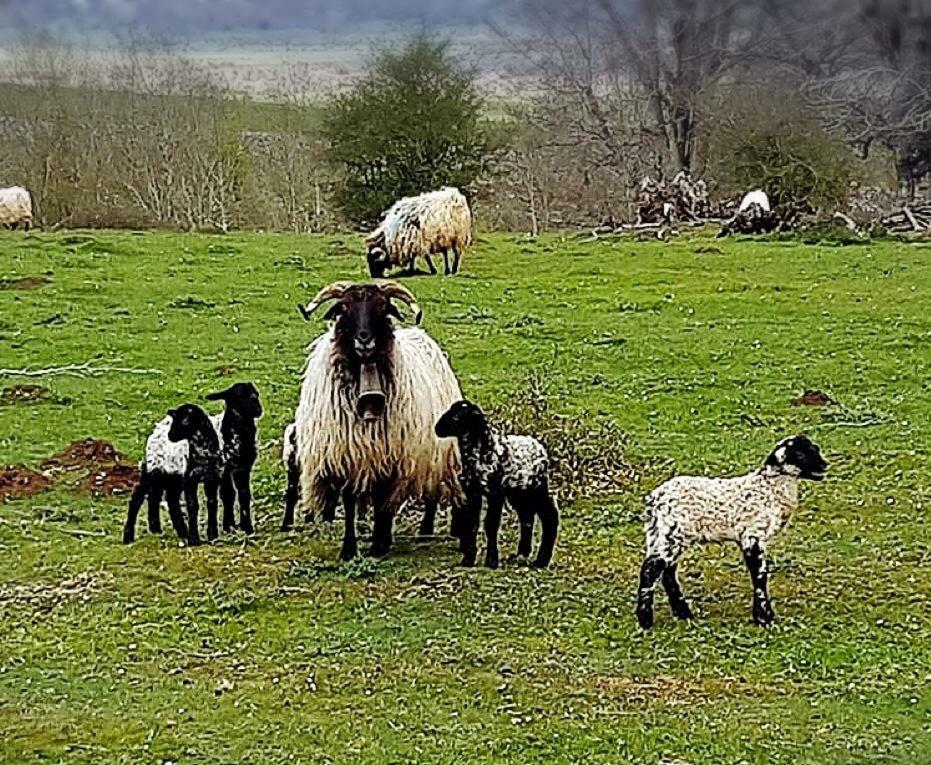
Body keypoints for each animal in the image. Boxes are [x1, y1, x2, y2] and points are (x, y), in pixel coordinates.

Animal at [434, 400, 556, 568]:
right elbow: (472, 524)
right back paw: (522, 554)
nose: (437, 428)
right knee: (527, 517)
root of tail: (539, 447)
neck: (478, 454)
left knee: (550, 516)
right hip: (519, 492)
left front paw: (491, 560)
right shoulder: (473, 492)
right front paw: (468, 559)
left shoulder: (495, 493)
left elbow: (490, 525)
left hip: (536, 487)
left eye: (457, 417)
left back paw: (542, 560)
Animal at [632, 432, 832, 628]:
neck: (770, 490)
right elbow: (760, 575)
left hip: (664, 534)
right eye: (801, 454)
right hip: (672, 532)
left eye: (815, 449)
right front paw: (764, 618)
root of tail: (655, 500)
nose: (824, 465)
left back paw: (684, 614)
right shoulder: (753, 535)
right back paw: (646, 619)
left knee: (667, 572)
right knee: (651, 569)